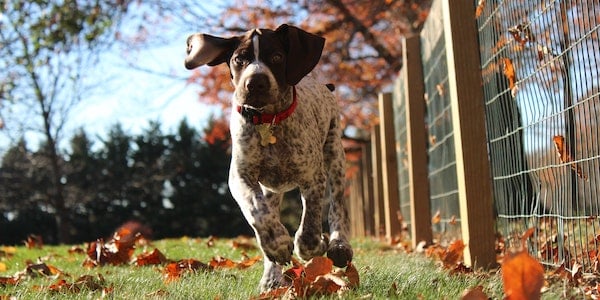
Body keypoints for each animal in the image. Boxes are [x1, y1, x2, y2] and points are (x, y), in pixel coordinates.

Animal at [184, 24, 352, 292]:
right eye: (239, 59)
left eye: (276, 57)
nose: (255, 83)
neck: (268, 121)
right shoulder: (241, 177)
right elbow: (257, 211)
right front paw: (278, 244)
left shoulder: (313, 177)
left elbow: (311, 221)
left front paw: (312, 245)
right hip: (272, 189)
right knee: (268, 212)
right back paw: (272, 277)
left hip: (335, 155)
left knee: (337, 206)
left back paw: (339, 246)